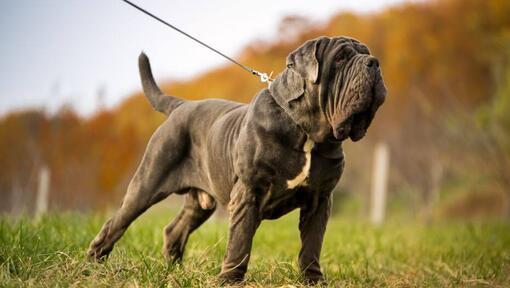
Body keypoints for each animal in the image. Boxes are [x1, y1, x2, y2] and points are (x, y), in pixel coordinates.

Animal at [87, 35, 386, 284]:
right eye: (341, 58)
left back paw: (175, 271)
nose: (374, 62)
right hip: (147, 183)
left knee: (175, 230)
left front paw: (313, 280)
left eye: (366, 53)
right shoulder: (249, 192)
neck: (306, 131)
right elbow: (240, 241)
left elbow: (312, 244)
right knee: (116, 223)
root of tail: (181, 105)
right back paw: (92, 266)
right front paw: (230, 279)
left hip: (200, 202)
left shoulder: (320, 199)